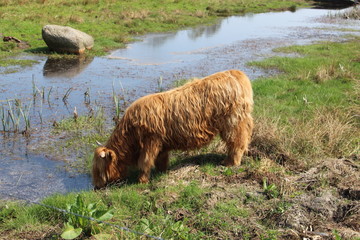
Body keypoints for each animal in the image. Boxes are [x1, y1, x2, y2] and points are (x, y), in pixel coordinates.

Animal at [93, 70, 253, 188]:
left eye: (99, 170)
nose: (96, 186)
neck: (131, 132)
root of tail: (235, 73)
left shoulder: (151, 141)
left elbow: (145, 162)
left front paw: (142, 181)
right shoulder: (161, 144)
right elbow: (161, 160)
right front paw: (161, 172)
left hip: (232, 122)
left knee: (237, 142)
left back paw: (230, 163)